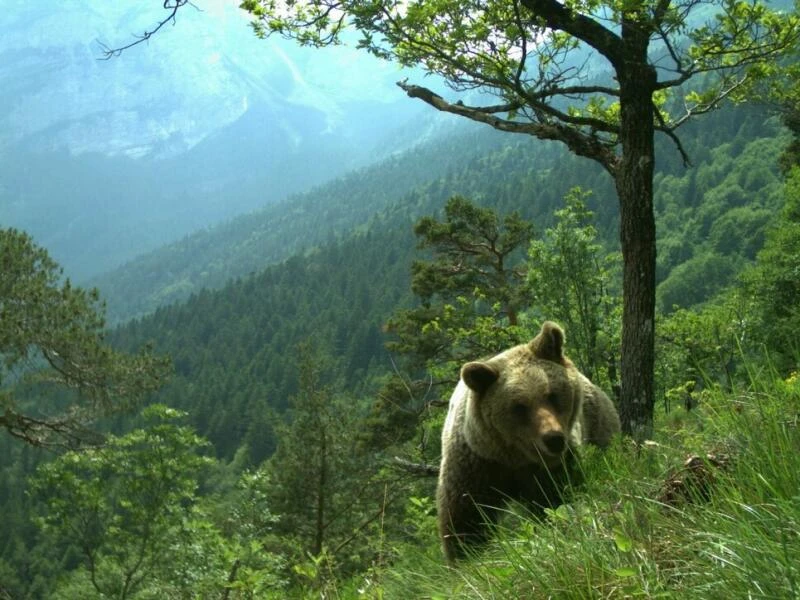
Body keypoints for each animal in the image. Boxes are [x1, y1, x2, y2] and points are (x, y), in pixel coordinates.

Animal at [438, 322, 620, 560]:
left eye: (552, 394)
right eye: (519, 406)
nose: (553, 439)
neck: (515, 457)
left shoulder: (553, 467)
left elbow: (556, 500)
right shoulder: (476, 463)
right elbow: (466, 516)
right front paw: (467, 555)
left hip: (599, 424)